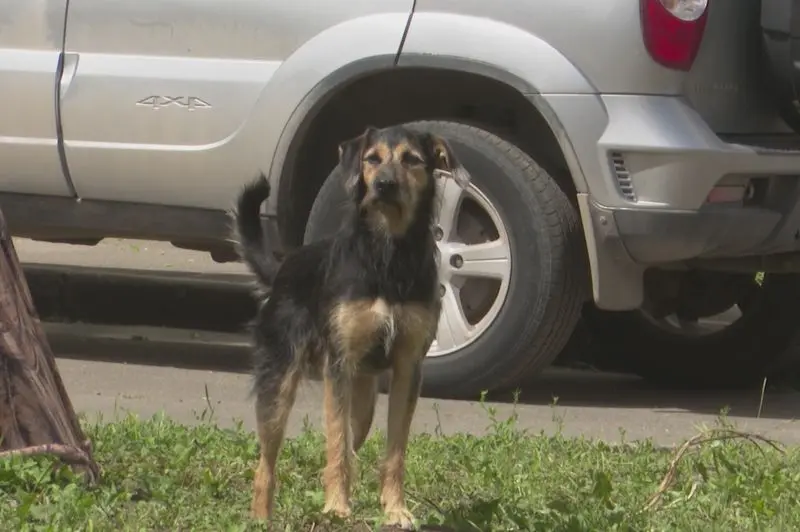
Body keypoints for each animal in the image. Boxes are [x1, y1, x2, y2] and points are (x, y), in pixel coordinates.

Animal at [231, 123, 468, 528]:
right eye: (372, 159)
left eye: (412, 160)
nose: (385, 185)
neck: (388, 253)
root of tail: (283, 268)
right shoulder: (338, 365)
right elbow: (336, 445)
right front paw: (336, 507)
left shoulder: (408, 367)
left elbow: (394, 451)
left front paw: (395, 509)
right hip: (279, 383)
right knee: (266, 464)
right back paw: (261, 517)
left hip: (364, 402)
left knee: (348, 448)